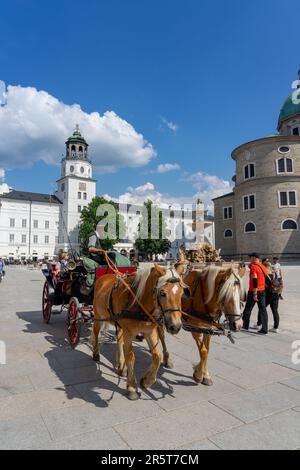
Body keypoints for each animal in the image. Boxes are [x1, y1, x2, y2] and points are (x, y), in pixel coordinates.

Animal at [91, 264, 188, 400]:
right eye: (162, 293)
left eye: (182, 293)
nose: (176, 326)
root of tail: (104, 277)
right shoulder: (129, 332)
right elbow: (131, 357)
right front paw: (132, 387)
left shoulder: (150, 332)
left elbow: (157, 356)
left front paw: (147, 381)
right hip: (98, 315)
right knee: (95, 331)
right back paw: (96, 354)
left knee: (119, 339)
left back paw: (120, 365)